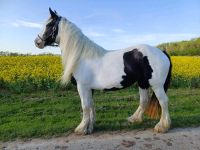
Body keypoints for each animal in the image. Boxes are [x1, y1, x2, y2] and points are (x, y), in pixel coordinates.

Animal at [34, 8, 172, 135]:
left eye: (49, 25)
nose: (37, 42)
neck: (81, 56)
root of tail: (162, 52)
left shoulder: (82, 87)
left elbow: (85, 106)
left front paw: (81, 129)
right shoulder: (89, 88)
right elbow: (91, 105)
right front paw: (90, 127)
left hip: (156, 85)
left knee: (163, 101)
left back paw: (162, 126)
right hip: (142, 83)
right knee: (144, 101)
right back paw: (134, 119)